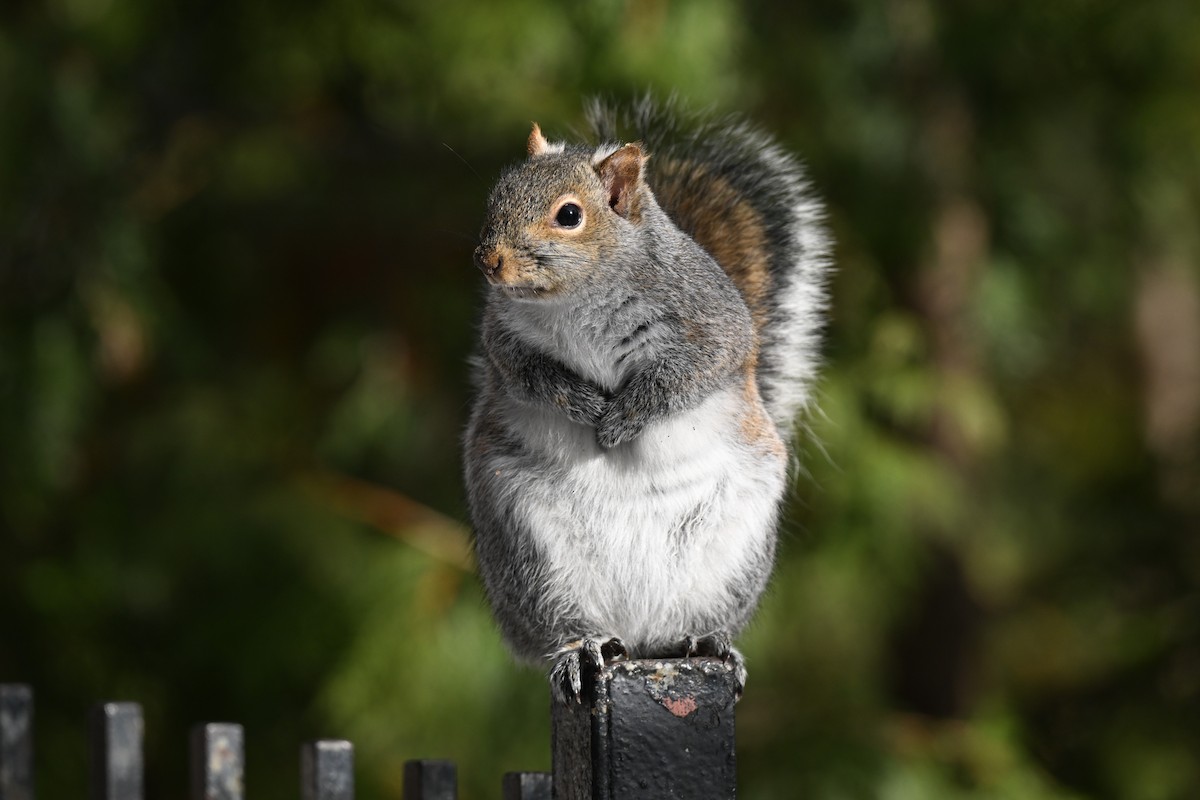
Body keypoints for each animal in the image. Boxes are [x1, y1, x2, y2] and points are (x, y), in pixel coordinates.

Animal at [463, 99, 830, 703]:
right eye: (497, 193)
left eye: (569, 215)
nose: (489, 261)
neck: (575, 298)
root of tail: (636, 635)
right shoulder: (504, 342)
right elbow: (532, 378)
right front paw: (584, 405)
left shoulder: (713, 328)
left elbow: (680, 379)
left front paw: (620, 420)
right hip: (533, 558)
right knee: (564, 625)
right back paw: (581, 649)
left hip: (731, 558)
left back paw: (704, 641)